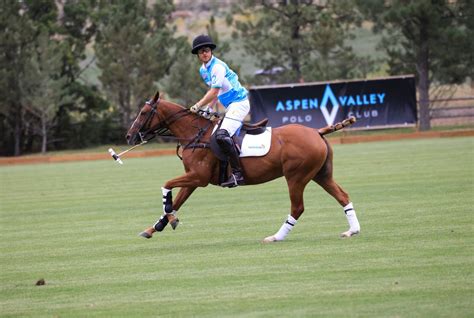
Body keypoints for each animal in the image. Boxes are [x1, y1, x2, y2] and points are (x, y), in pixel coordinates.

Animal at [126, 90, 360, 242]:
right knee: (343, 196)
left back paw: (276, 237)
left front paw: (170, 219)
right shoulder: (193, 179)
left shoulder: (199, 177)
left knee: (298, 207)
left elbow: (166, 185)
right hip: (321, 174)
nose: (129, 136)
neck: (195, 134)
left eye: (144, 112)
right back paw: (352, 231)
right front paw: (154, 227)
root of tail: (317, 132)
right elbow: (176, 202)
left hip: (296, 176)